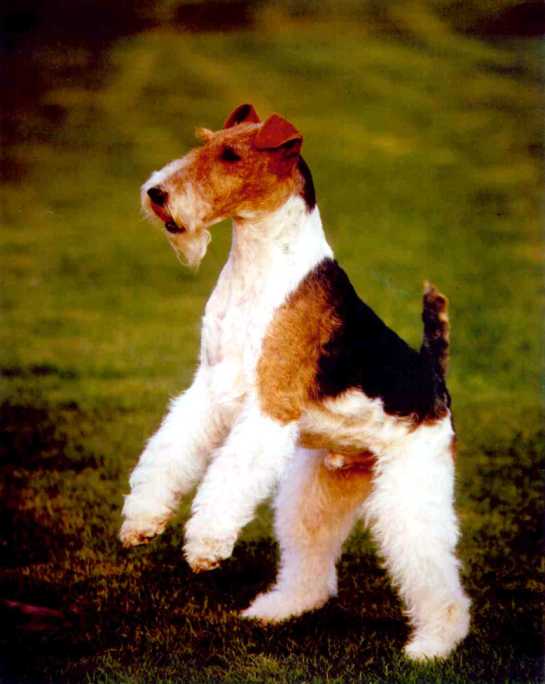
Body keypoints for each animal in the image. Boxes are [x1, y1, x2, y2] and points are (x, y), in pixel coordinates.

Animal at [118, 104, 468, 660]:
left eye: (231, 155)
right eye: (203, 143)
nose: (157, 194)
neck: (259, 266)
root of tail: (434, 378)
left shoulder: (270, 404)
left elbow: (227, 480)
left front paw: (205, 545)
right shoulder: (208, 388)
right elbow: (168, 453)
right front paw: (141, 521)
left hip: (412, 488)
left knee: (438, 577)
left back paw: (432, 645)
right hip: (319, 488)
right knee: (312, 566)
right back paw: (280, 608)